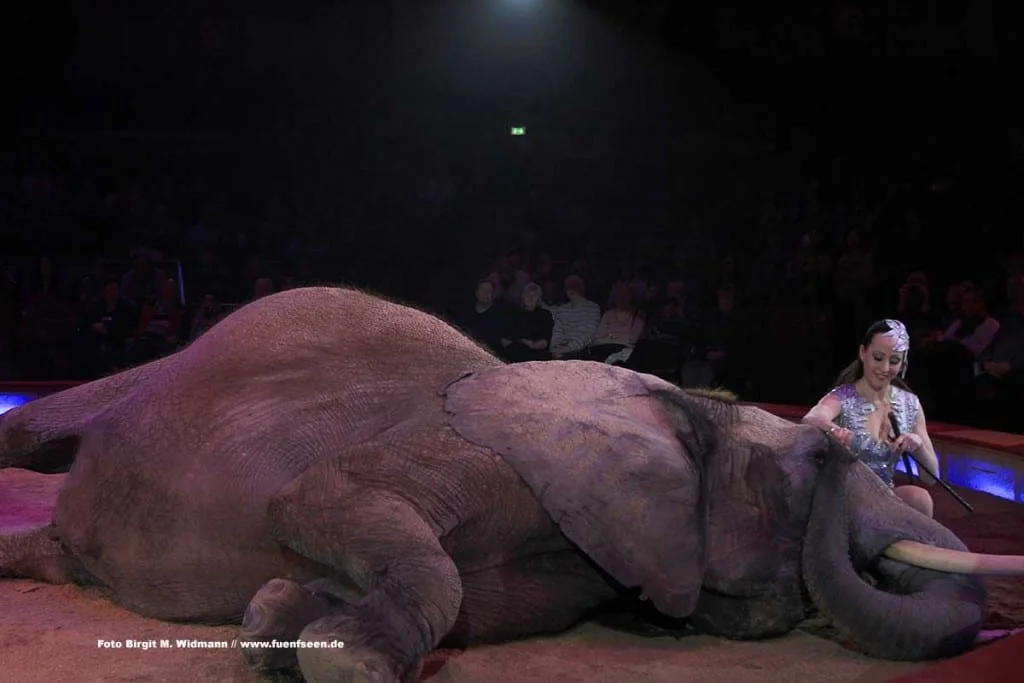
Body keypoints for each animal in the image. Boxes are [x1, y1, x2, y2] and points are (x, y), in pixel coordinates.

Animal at [2, 286, 1024, 683]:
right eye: (812, 466)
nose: (874, 438)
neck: (672, 402)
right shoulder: (472, 455)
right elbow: (319, 497)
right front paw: (345, 658)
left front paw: (282, 621)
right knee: (41, 423)